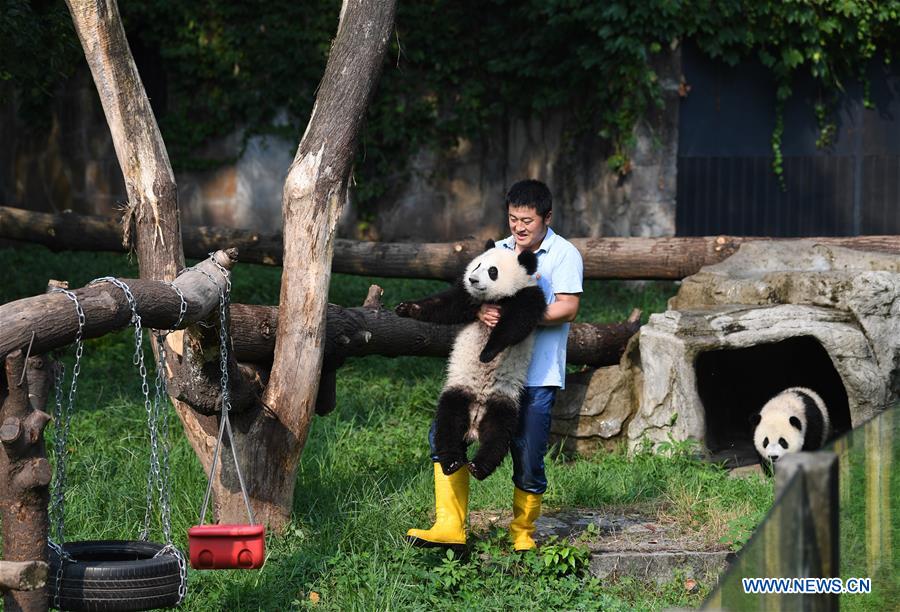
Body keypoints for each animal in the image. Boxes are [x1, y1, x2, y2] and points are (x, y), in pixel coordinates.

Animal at [396, 241, 548, 480]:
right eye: (477, 265)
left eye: (493, 271)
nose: (473, 279)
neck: (494, 299)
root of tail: (474, 425)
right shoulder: (467, 296)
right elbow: (444, 305)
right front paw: (406, 308)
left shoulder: (528, 296)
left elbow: (515, 325)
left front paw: (486, 353)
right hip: (459, 392)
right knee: (448, 423)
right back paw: (452, 462)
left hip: (503, 402)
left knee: (497, 436)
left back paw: (479, 467)